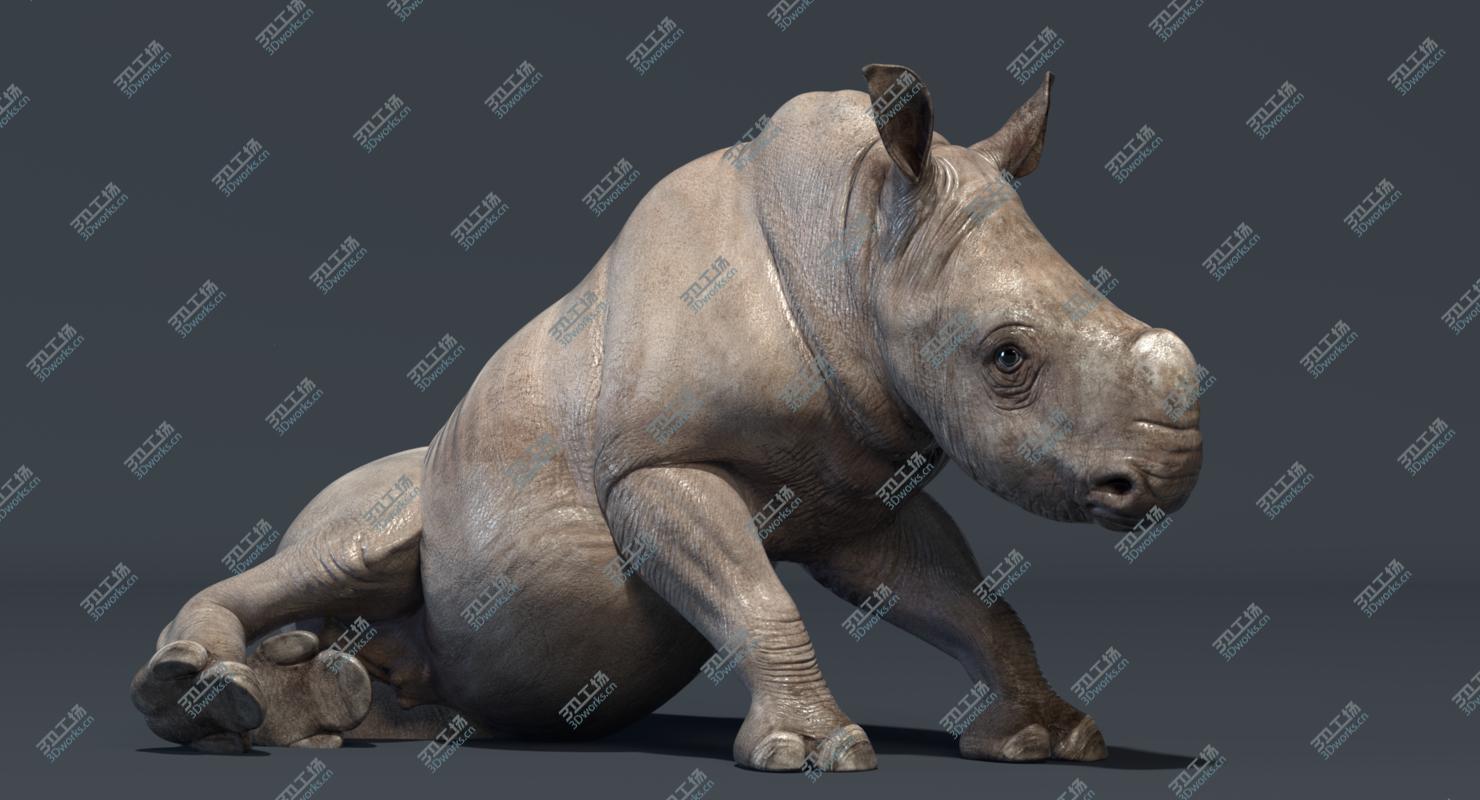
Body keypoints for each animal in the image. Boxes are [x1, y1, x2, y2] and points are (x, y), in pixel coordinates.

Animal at [131, 64, 1203, 771]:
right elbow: (758, 597)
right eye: (1007, 358)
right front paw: (815, 753)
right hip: (396, 485)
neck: (853, 240)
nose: (1166, 479)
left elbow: (970, 603)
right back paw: (197, 693)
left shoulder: (858, 501)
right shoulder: (653, 467)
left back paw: (323, 709)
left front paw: (1047, 740)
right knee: (357, 543)